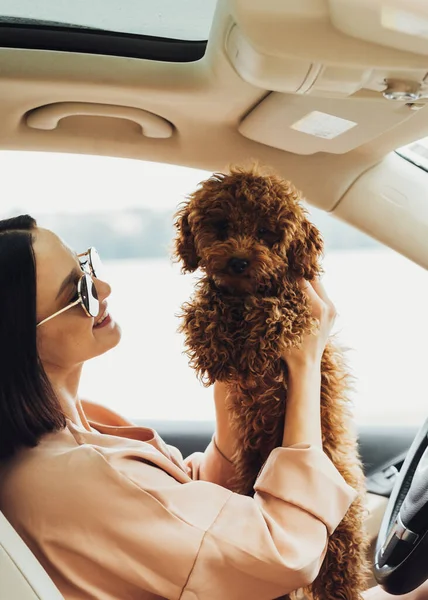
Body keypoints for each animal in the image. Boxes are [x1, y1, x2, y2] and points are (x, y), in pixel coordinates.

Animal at [174, 165, 372, 600]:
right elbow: (203, 306)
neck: (244, 296)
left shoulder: (298, 299)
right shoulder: (219, 294)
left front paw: (255, 345)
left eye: (267, 233)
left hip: (340, 541)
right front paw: (211, 346)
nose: (238, 261)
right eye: (222, 226)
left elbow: (280, 309)